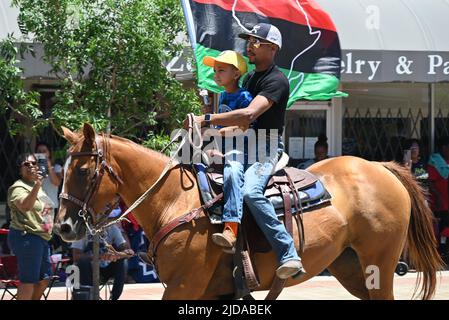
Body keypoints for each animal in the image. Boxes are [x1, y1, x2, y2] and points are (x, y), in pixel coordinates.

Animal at [56, 124, 440, 298]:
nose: (63, 227)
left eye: (84, 171)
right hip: (351, 267)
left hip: (380, 264)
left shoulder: (184, 284)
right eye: (65, 167)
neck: (173, 201)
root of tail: (380, 167)